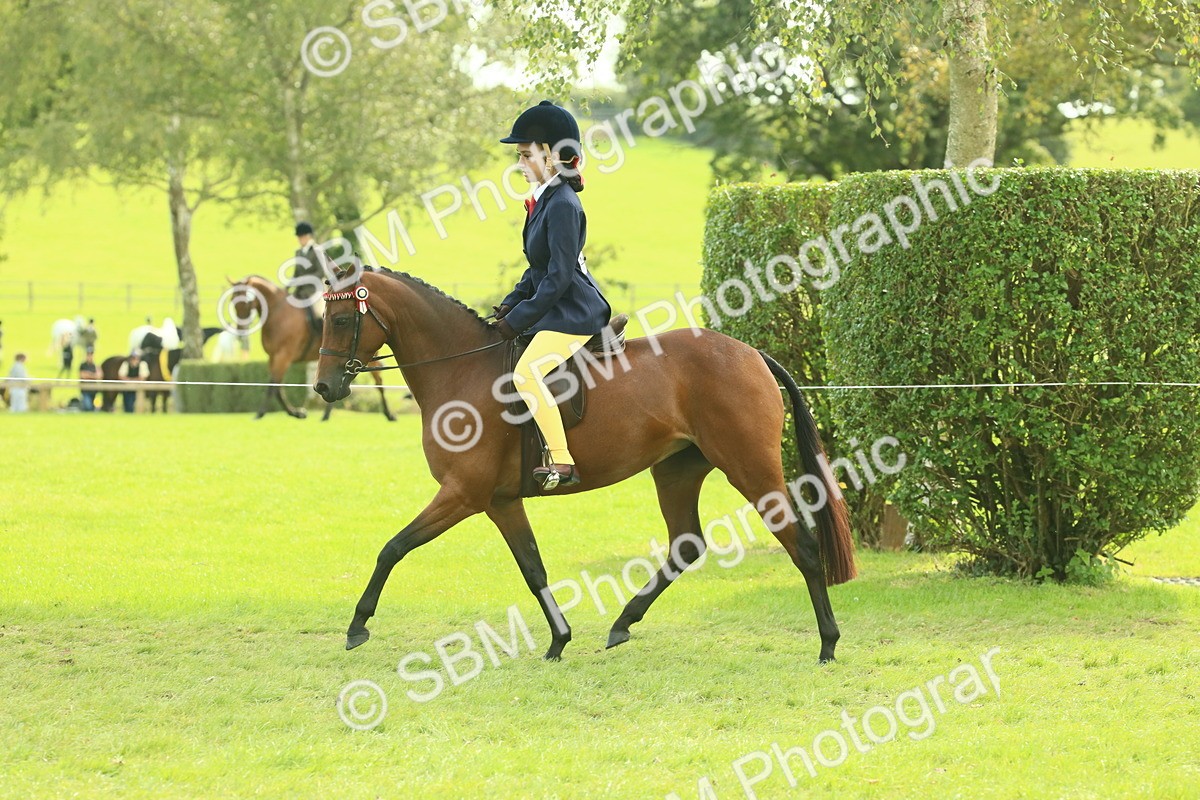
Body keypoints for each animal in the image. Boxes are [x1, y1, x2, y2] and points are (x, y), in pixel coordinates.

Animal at [228, 276, 397, 421]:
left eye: (245, 302)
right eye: (233, 303)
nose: (241, 331)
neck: (277, 312)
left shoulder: (283, 357)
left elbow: (273, 387)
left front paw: (265, 413)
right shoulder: (273, 357)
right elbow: (277, 388)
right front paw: (294, 412)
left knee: (378, 380)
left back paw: (389, 414)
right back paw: (327, 414)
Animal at [313, 268, 856, 663]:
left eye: (339, 320)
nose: (322, 387)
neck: (461, 368)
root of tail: (752, 354)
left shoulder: (462, 494)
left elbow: (392, 548)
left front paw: (357, 625)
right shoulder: (500, 501)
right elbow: (533, 568)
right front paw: (559, 640)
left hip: (751, 471)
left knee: (803, 547)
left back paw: (828, 643)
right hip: (676, 471)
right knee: (686, 544)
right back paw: (622, 624)